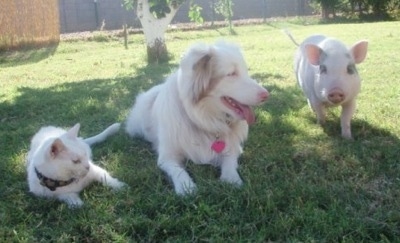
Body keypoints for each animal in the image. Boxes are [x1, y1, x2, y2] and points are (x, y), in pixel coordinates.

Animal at [125, 40, 268, 195]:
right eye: (231, 74)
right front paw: (186, 187)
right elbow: (179, 171)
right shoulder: (167, 157)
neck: (203, 118)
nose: (266, 95)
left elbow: (230, 163)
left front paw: (232, 179)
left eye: (246, 71)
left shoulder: (233, 148)